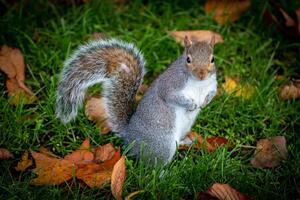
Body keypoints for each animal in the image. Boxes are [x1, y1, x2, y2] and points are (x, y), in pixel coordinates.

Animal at [55, 36, 216, 164]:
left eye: (212, 59)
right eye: (188, 59)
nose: (202, 74)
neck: (199, 83)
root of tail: (130, 137)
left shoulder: (212, 83)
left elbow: (213, 92)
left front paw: (206, 101)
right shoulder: (170, 85)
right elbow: (170, 96)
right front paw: (191, 104)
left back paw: (186, 141)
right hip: (162, 144)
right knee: (153, 166)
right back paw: (164, 175)